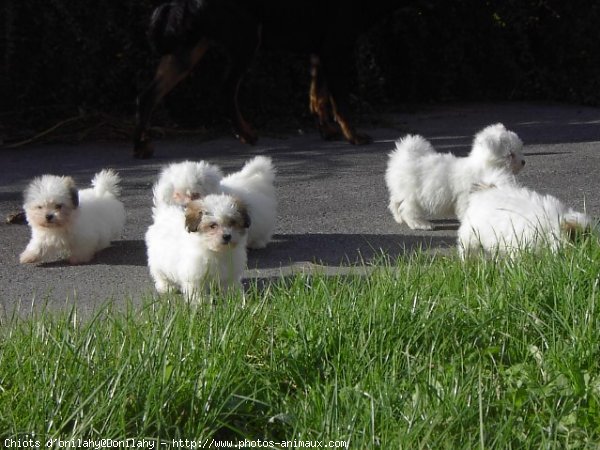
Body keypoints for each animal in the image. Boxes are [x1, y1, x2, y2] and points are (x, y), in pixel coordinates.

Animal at [136, 0, 398, 158]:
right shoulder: (336, 48)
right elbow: (339, 102)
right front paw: (353, 136)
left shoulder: (321, 52)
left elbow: (317, 96)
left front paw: (326, 130)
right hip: (248, 37)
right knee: (226, 89)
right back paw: (246, 133)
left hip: (189, 47)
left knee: (148, 95)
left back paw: (141, 146)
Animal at [386, 122, 524, 229]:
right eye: (511, 155)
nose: (524, 162)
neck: (482, 167)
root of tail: (404, 157)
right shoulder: (465, 196)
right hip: (414, 195)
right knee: (408, 210)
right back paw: (421, 224)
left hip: (401, 191)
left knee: (395, 202)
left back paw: (398, 218)